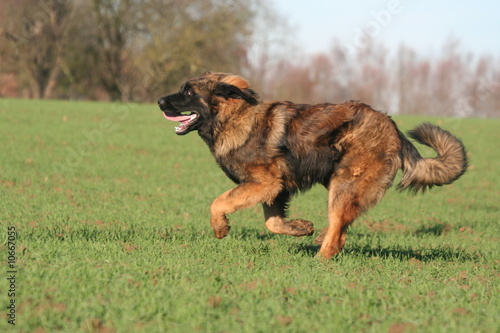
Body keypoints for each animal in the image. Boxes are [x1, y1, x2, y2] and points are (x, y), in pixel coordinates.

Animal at [157, 72, 468, 260]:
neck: (235, 117)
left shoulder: (264, 183)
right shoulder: (275, 189)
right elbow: (272, 222)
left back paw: (319, 259)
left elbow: (218, 202)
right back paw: (318, 240)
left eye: (188, 92)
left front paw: (220, 228)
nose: (159, 100)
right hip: (340, 184)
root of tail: (392, 127)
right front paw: (300, 227)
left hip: (344, 184)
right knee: (340, 229)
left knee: (337, 231)